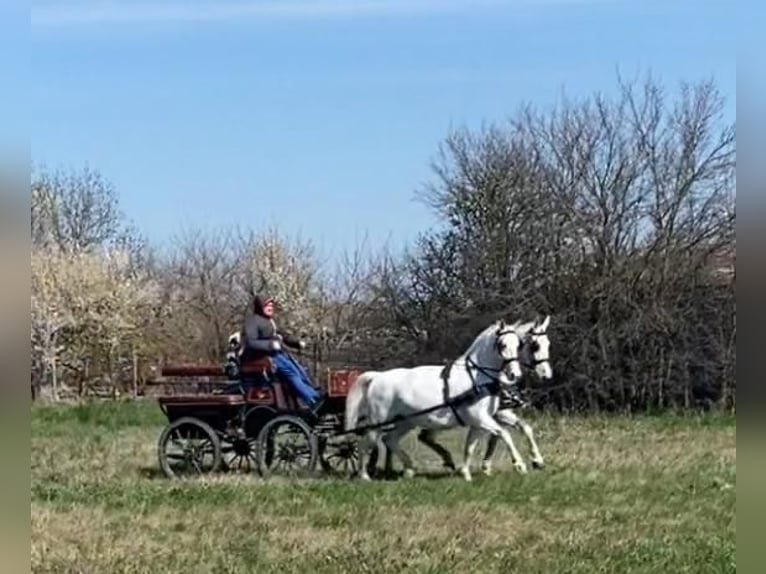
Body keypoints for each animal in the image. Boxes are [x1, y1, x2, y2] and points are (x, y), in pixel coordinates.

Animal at [346, 320, 540, 482]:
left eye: (519, 345)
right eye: (502, 345)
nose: (515, 375)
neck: (476, 378)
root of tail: (377, 377)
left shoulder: (478, 423)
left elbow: (470, 447)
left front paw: (466, 474)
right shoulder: (481, 419)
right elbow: (505, 434)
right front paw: (520, 465)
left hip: (405, 422)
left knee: (389, 440)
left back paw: (409, 469)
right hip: (378, 423)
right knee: (364, 445)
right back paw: (364, 476)